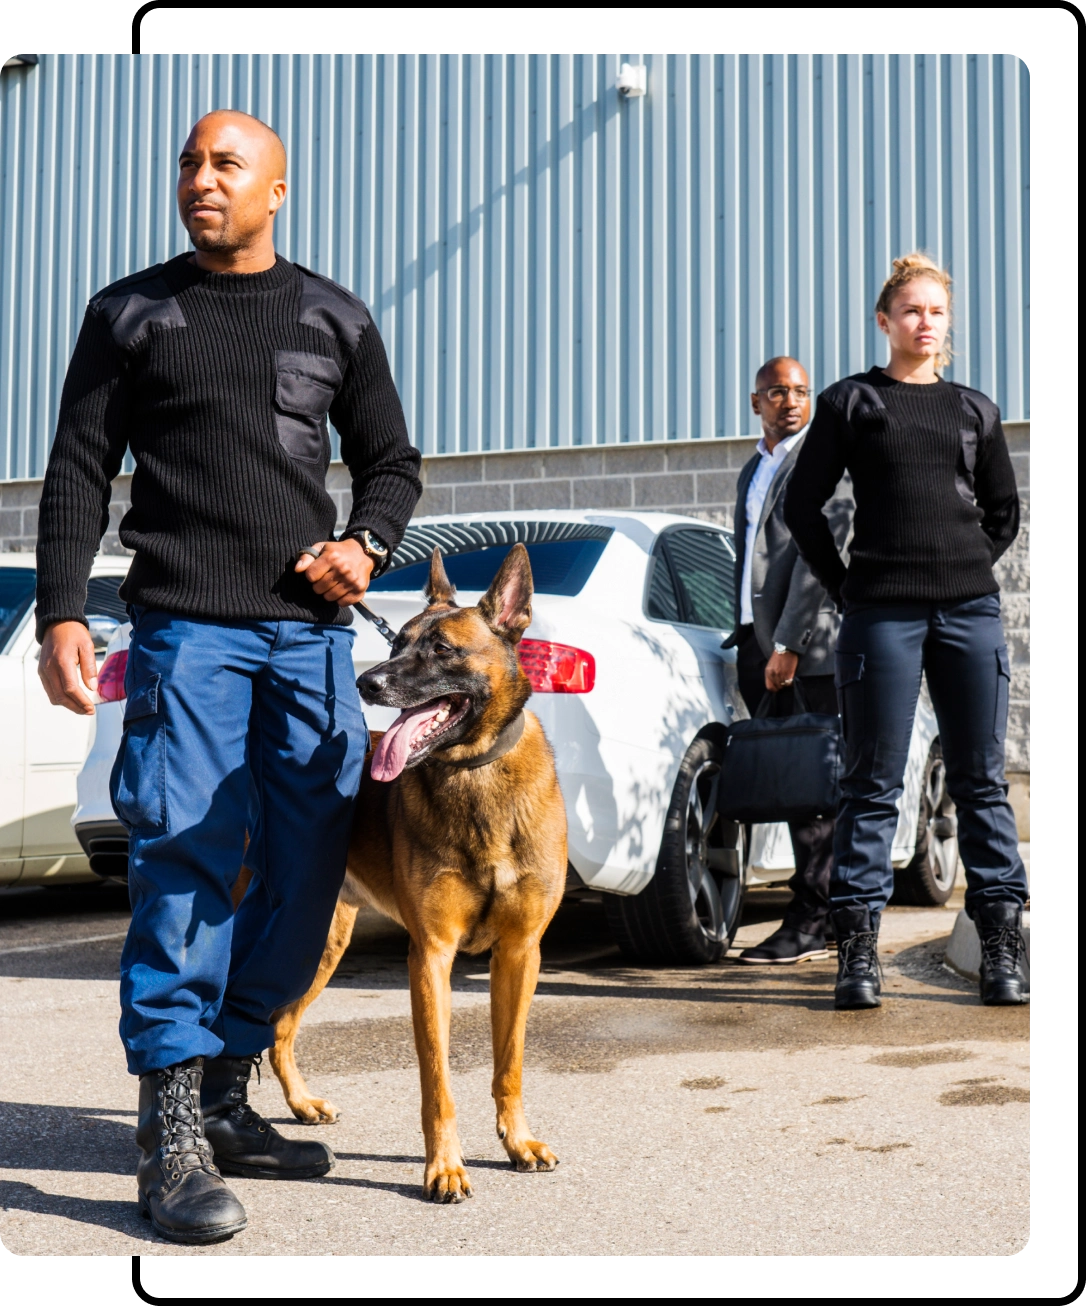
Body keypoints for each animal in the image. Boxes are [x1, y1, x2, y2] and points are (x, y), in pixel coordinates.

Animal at [266, 543, 563, 1201]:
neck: (473, 772)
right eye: (398, 642)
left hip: (324, 946)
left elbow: (509, 1064)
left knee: (276, 1029)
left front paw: (517, 1141)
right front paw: (445, 1167)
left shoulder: (519, 954)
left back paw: (300, 1104)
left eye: (443, 649)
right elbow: (437, 1081)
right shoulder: (430, 957)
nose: (366, 681)